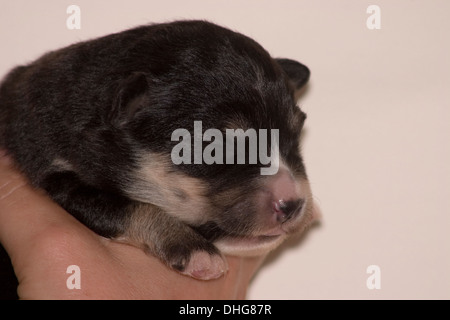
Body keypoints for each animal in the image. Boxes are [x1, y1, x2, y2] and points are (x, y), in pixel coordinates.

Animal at [0, 20, 314, 280]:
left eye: (295, 134)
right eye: (216, 146)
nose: (293, 204)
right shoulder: (54, 176)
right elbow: (128, 207)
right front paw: (193, 249)